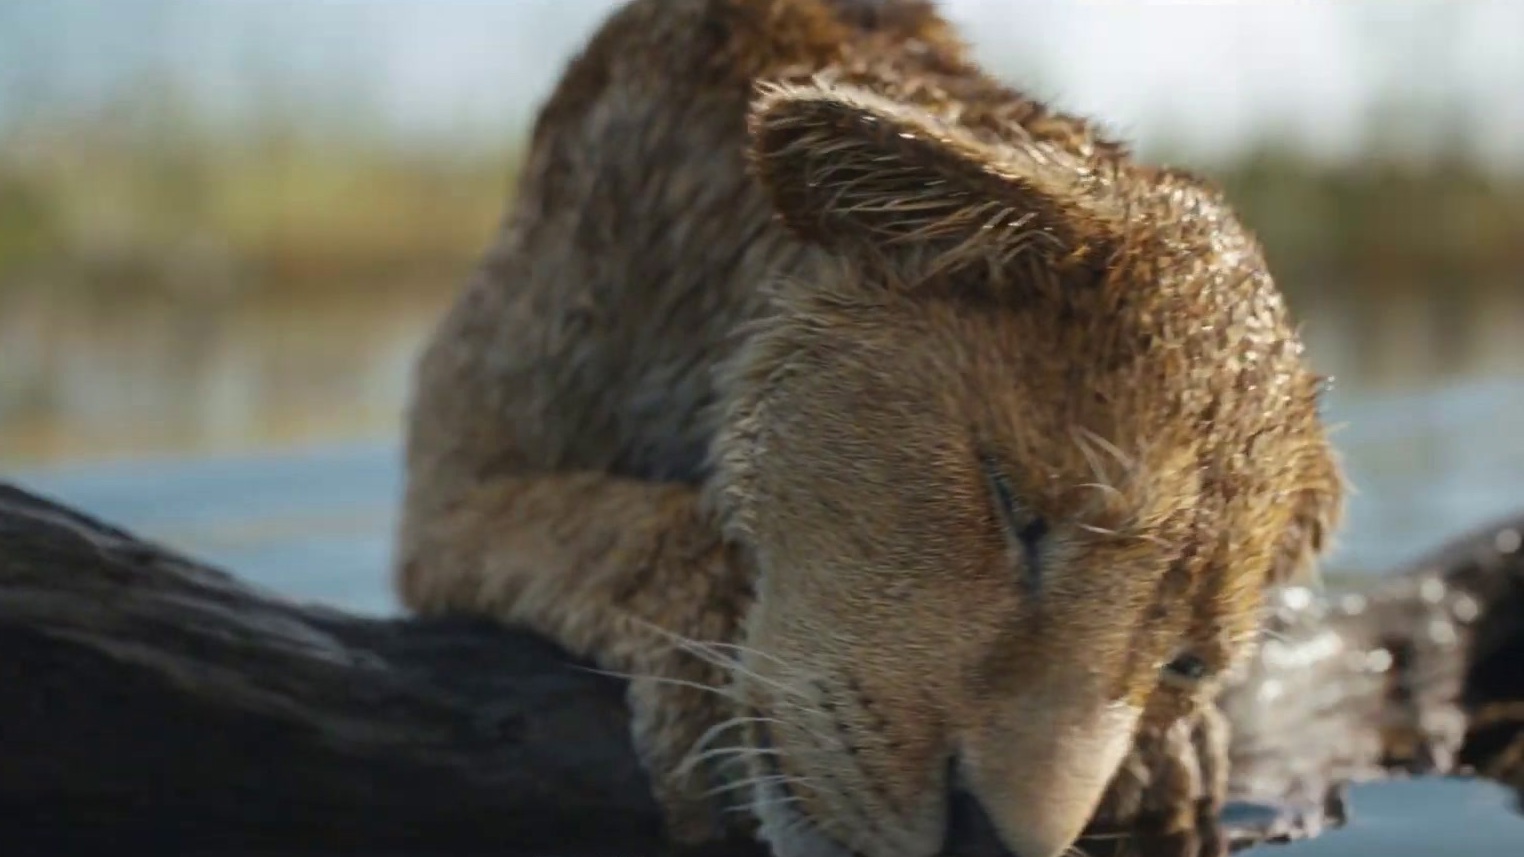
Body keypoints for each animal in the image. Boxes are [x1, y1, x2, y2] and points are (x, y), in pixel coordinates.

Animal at [393, 2, 1345, 856]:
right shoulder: (452, 474)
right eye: (1010, 503)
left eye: (1190, 663)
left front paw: (1168, 752)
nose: (989, 837)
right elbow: (612, 524)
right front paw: (700, 667)